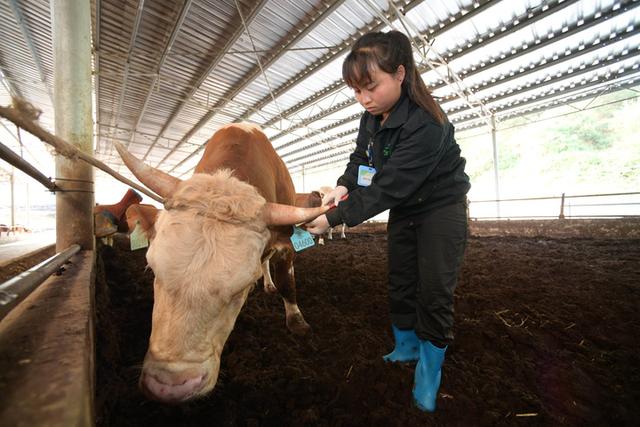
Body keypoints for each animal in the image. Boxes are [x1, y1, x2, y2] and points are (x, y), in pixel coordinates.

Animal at [113, 123, 330, 404]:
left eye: (241, 290)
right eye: (153, 270)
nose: (169, 387)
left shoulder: (286, 242)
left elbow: (287, 283)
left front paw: (297, 321)